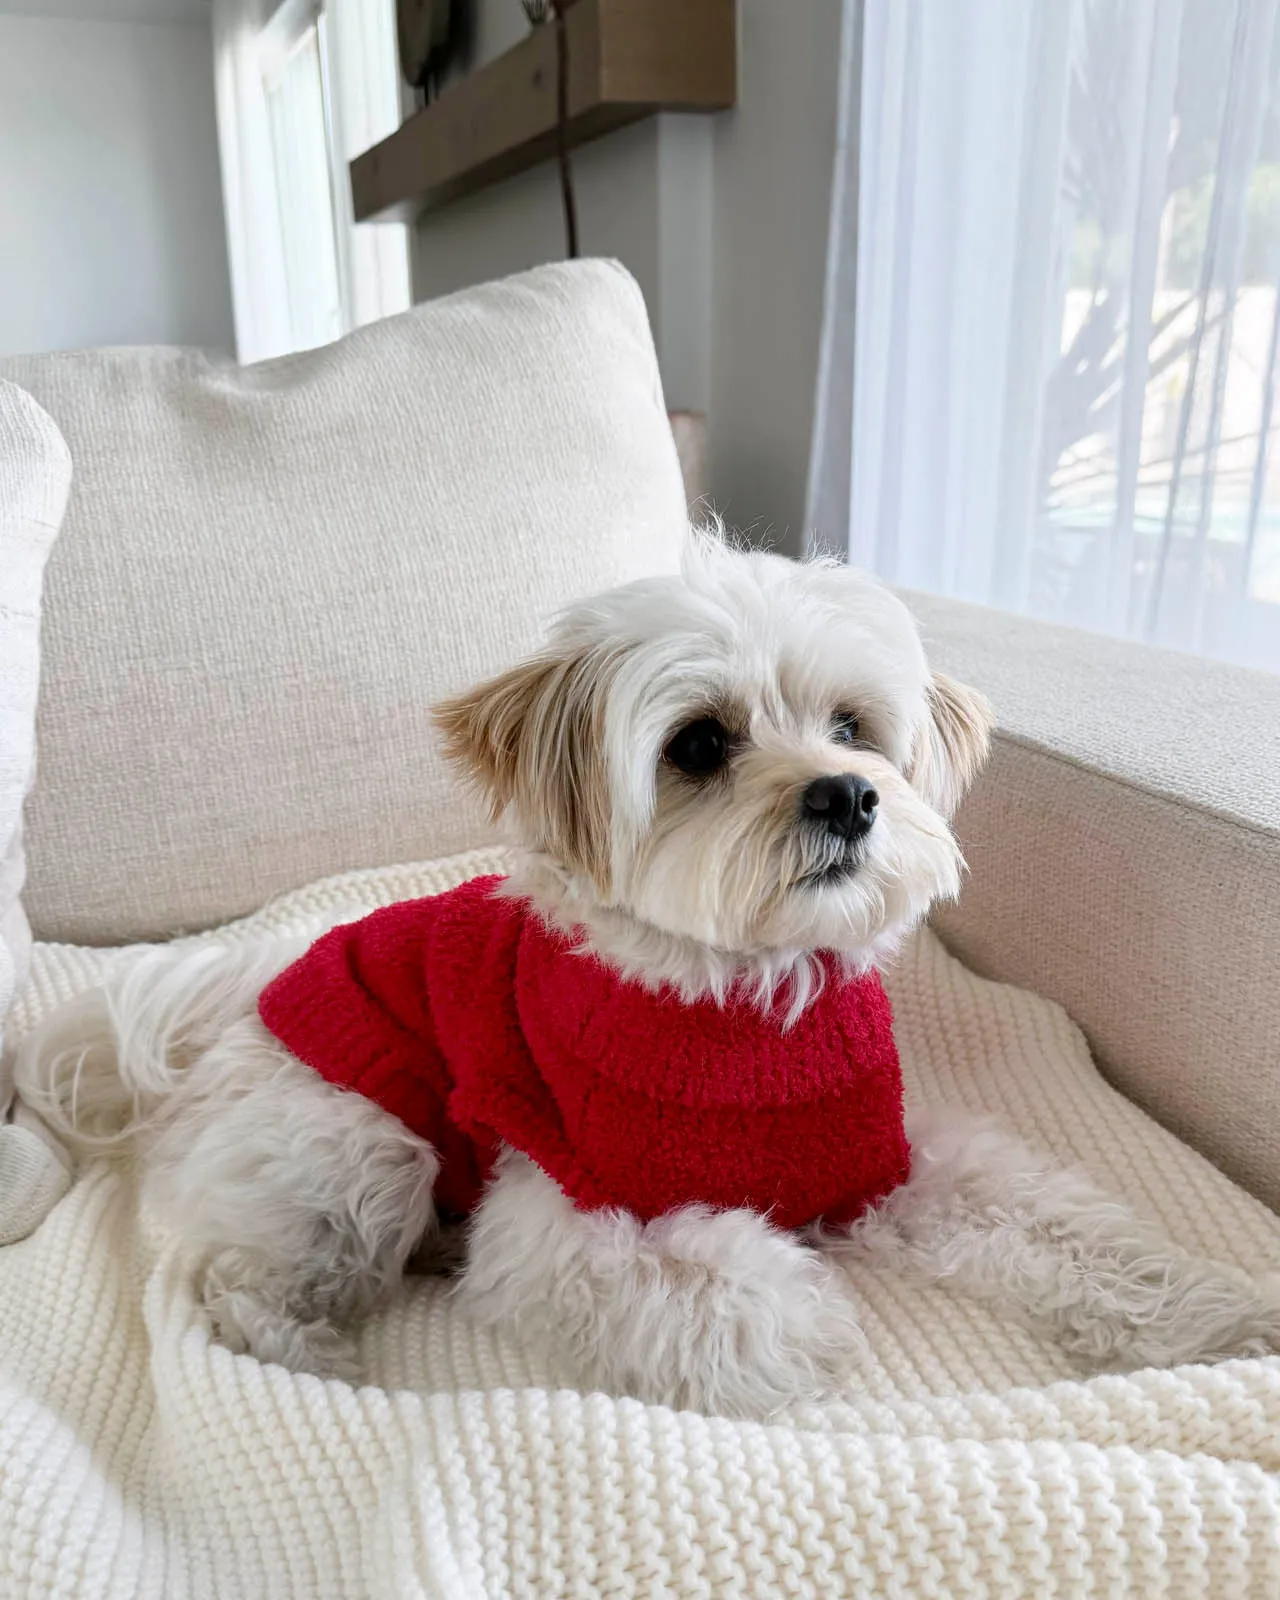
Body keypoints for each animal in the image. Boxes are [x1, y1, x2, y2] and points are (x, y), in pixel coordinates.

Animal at [12, 544, 1280, 1420]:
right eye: (699, 745)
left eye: (852, 726)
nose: (847, 794)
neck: (741, 1009)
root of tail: (245, 989)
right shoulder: (558, 1218)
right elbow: (721, 1277)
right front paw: (814, 1319)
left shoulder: (884, 1157)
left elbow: (1059, 1224)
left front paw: (1211, 1307)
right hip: (360, 1137)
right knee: (235, 1276)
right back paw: (299, 1342)